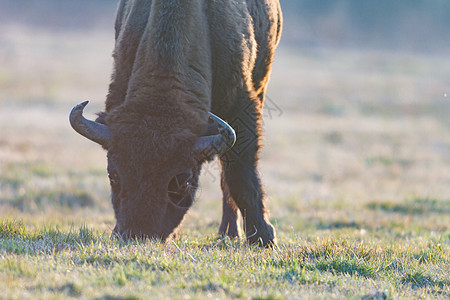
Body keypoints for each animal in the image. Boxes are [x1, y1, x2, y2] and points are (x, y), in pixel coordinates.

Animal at [69, 0, 282, 246]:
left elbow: (240, 177)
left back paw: (228, 232)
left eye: (184, 182)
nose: (138, 234)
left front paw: (264, 239)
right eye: (112, 175)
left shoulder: (241, 108)